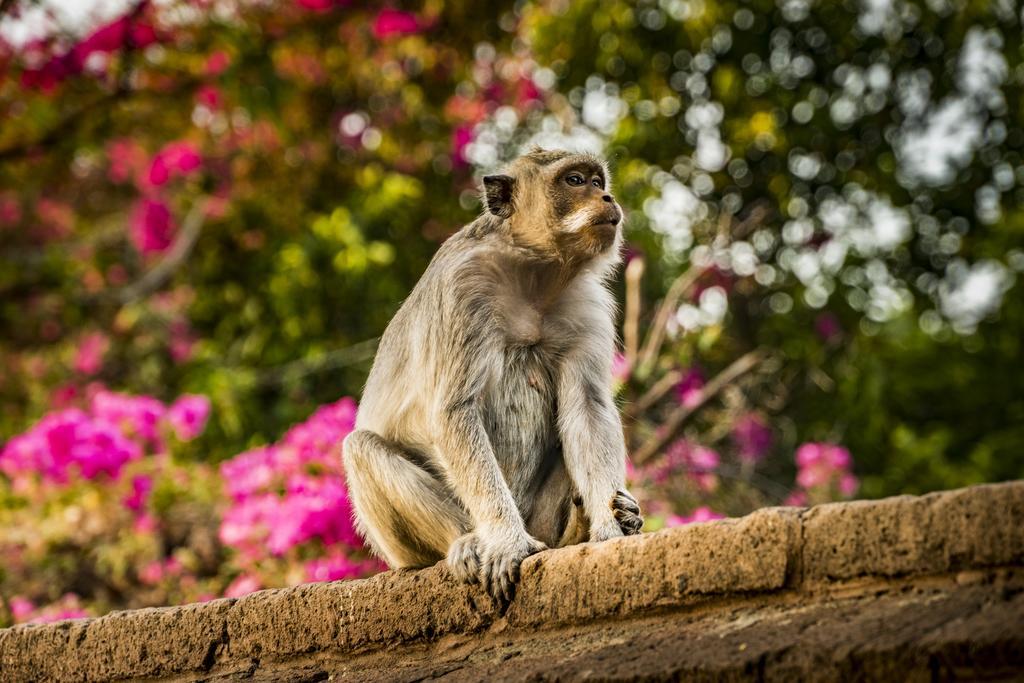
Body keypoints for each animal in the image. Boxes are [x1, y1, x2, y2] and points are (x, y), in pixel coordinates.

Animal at [342, 145, 638, 602]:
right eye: (574, 181)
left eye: (597, 182)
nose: (606, 198)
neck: (533, 271)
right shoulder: (463, 289)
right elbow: (454, 410)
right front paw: (506, 541)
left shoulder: (587, 304)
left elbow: (587, 410)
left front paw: (609, 529)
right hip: (401, 548)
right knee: (361, 448)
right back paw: (469, 542)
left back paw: (581, 528)